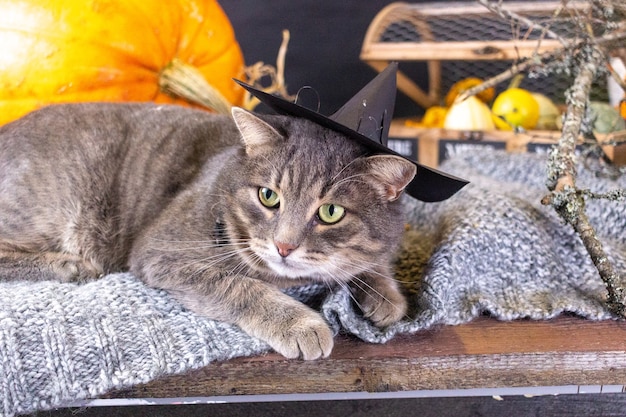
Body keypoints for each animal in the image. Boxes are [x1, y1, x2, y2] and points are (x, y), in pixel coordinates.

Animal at [0, 102, 412, 360]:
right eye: (268, 196)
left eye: (330, 212)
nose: (283, 246)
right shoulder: (163, 253)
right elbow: (241, 286)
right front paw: (300, 323)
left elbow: (366, 262)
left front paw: (383, 292)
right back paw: (69, 264)